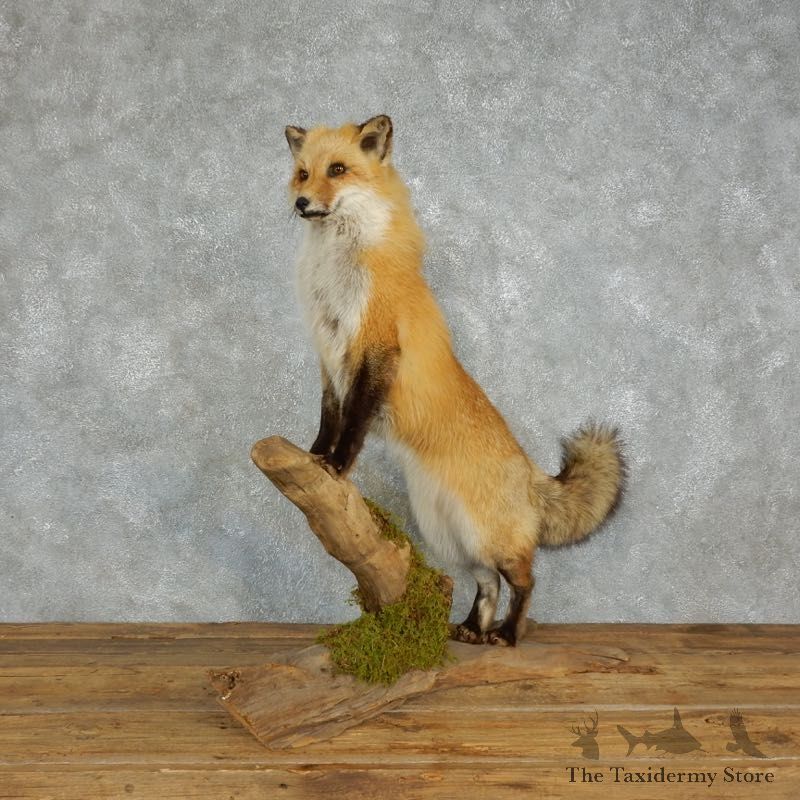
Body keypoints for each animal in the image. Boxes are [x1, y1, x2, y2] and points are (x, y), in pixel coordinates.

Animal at [284, 114, 625, 646]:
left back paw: (508, 635)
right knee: (487, 583)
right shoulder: (328, 356)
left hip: (489, 537)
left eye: (337, 170)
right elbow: (328, 415)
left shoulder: (375, 350)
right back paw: (470, 629)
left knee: (525, 580)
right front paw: (315, 456)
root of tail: (529, 472)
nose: (301, 203)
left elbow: (354, 420)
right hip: (449, 535)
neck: (335, 273)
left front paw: (337, 466)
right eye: (303, 173)